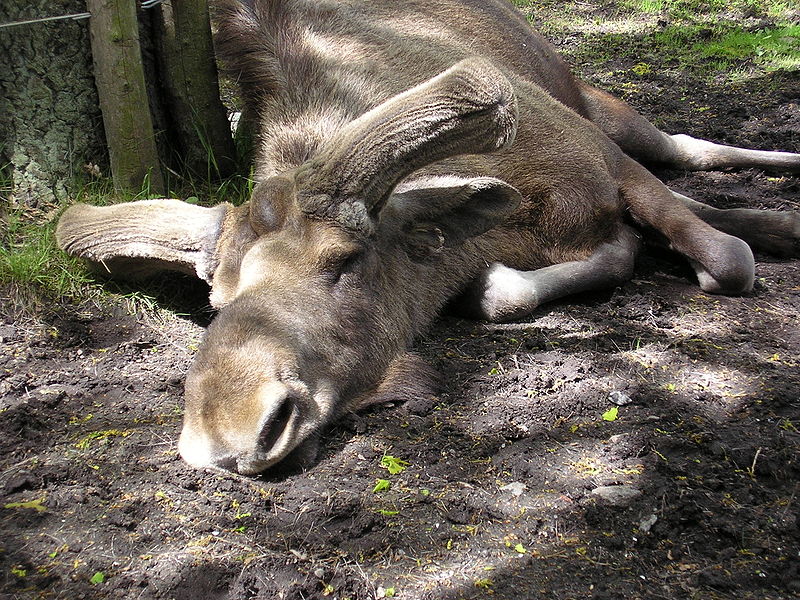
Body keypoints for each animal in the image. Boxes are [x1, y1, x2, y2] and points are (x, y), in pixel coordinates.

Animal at [56, 0, 800, 475]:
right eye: (214, 299)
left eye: (344, 261)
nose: (231, 430)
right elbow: (550, 275)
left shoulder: (603, 159)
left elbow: (726, 258)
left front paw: (758, 229)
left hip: (598, 104)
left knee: (685, 147)